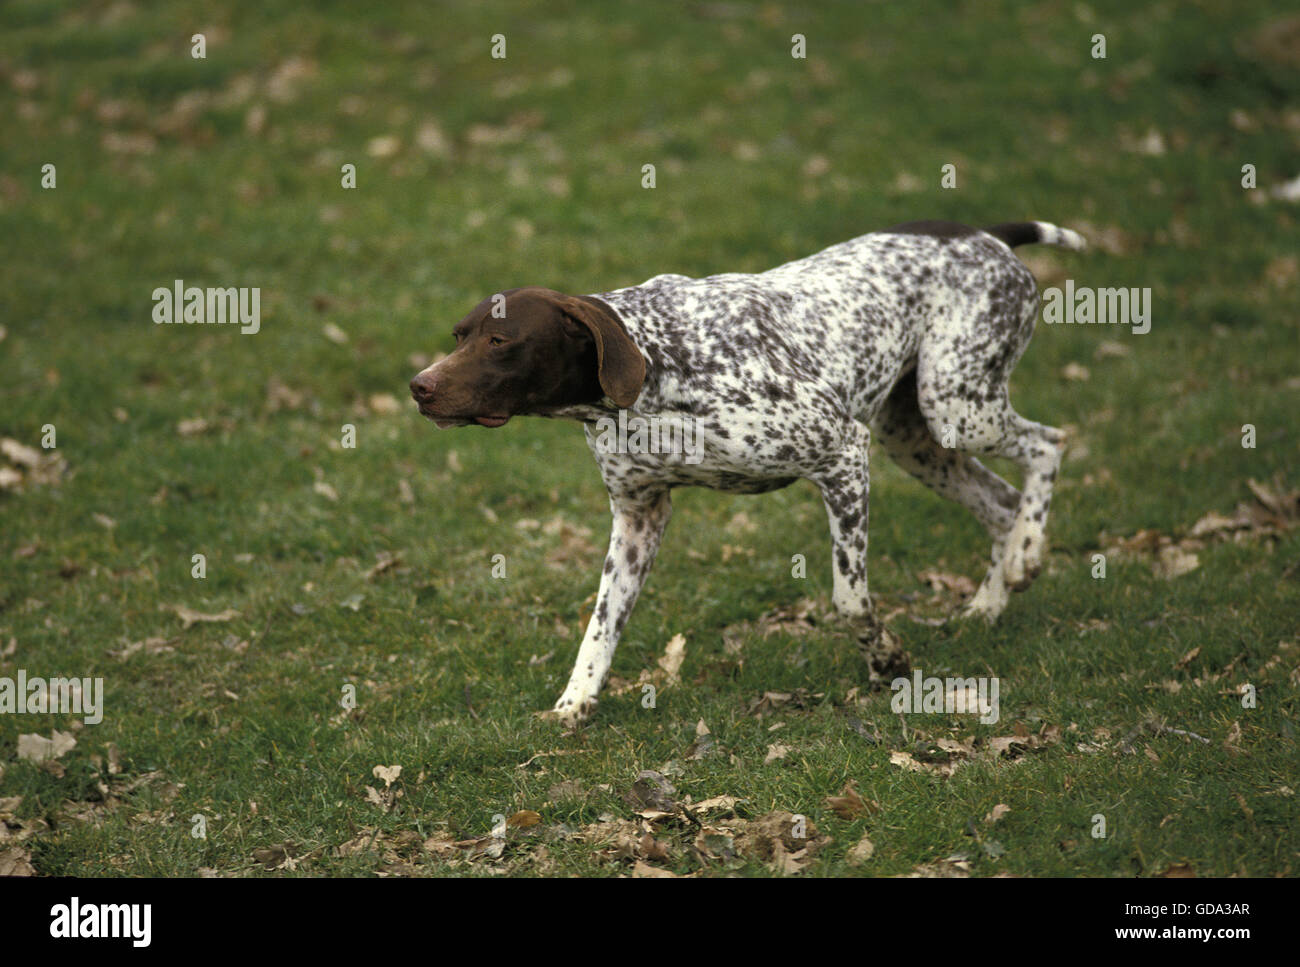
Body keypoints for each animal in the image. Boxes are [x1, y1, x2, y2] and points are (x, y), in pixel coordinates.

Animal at [410, 215, 1081, 722]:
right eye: (459, 335)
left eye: (500, 342)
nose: (419, 387)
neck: (658, 362)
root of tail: (985, 232)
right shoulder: (638, 517)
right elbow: (600, 627)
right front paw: (574, 705)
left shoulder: (843, 455)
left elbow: (849, 599)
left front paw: (886, 659)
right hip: (918, 439)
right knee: (1002, 505)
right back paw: (991, 601)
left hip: (956, 406)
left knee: (1049, 444)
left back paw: (1025, 556)